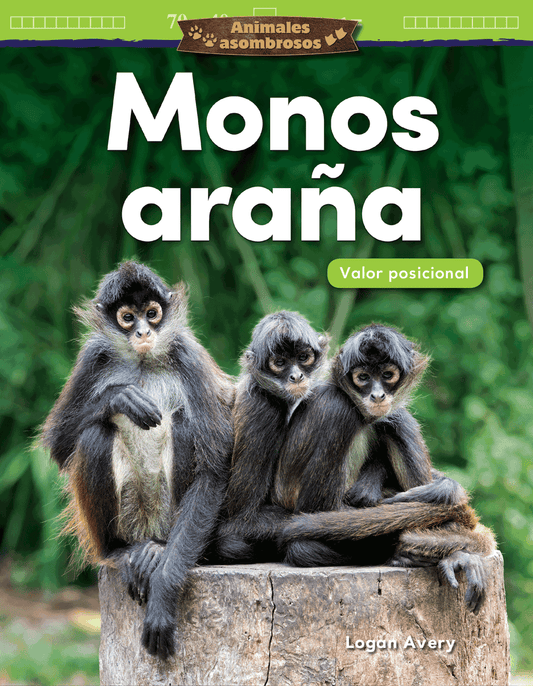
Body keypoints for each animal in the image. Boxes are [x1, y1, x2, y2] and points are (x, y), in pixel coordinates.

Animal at [40, 261, 234, 659]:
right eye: (127, 317)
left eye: (152, 313)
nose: (143, 331)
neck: (143, 361)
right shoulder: (93, 355)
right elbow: (59, 446)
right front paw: (117, 398)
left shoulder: (187, 352)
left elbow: (213, 471)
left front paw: (163, 596)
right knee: (94, 435)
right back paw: (119, 552)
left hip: (168, 515)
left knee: (184, 423)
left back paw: (158, 552)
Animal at [275, 324, 495, 613]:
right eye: (363, 377)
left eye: (388, 375)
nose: (377, 395)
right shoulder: (334, 406)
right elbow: (315, 510)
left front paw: (444, 490)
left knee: (396, 419)